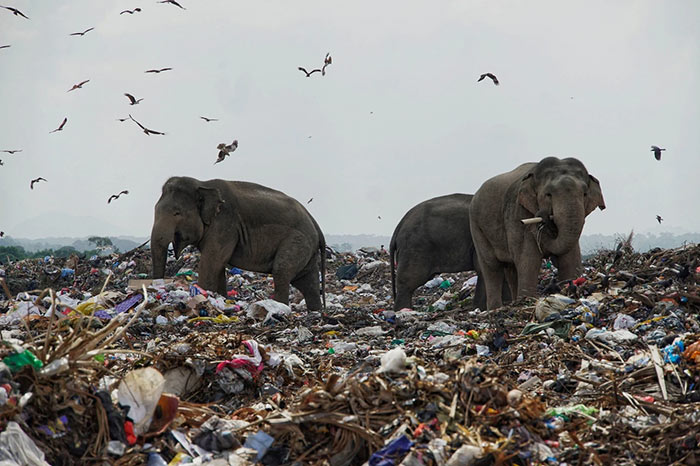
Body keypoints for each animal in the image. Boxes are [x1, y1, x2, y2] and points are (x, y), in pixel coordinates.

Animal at [150, 177, 326, 308]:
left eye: (177, 213)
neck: (202, 184)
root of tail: (314, 222)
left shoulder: (225, 224)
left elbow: (211, 262)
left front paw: (203, 298)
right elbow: (217, 265)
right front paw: (220, 298)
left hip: (298, 241)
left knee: (281, 271)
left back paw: (281, 308)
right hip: (307, 248)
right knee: (308, 284)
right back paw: (315, 312)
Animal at [470, 157, 608, 310]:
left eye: (584, 194)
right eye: (548, 194)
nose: (543, 216)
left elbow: (570, 258)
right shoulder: (517, 214)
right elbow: (529, 259)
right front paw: (528, 300)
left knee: (511, 268)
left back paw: (514, 303)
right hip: (477, 227)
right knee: (492, 267)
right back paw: (497, 308)